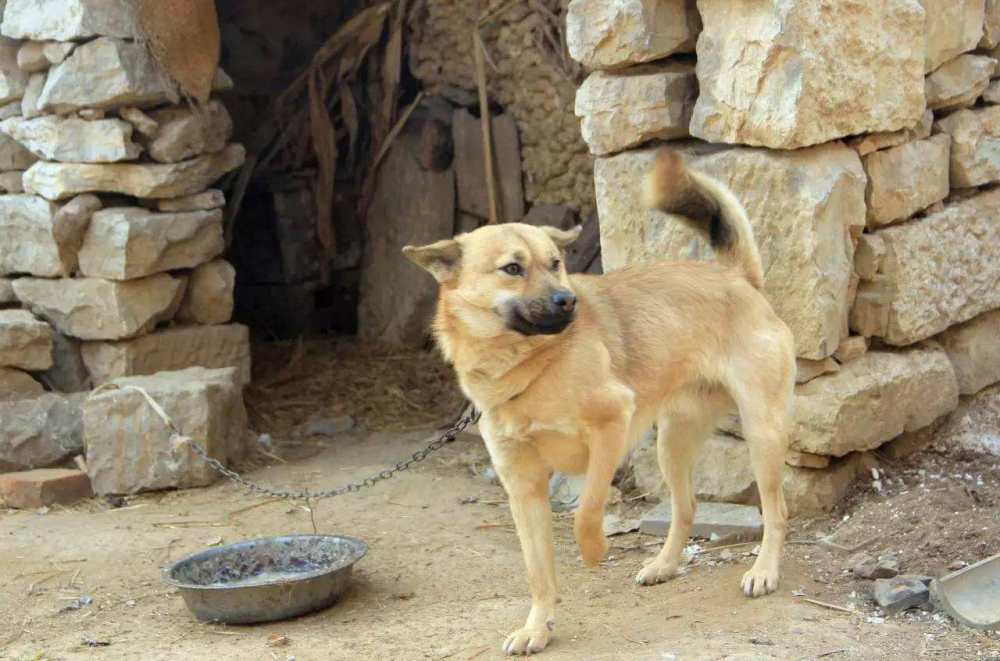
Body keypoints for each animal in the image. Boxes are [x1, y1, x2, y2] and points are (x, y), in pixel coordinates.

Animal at [402, 151, 792, 656]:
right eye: (512, 268)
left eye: (555, 263)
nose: (567, 301)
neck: (530, 365)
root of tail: (737, 277)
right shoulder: (523, 486)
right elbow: (538, 571)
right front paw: (537, 627)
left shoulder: (610, 428)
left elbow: (585, 513)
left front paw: (595, 551)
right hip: (672, 444)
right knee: (686, 506)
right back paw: (664, 565)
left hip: (762, 434)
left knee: (776, 511)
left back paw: (764, 571)